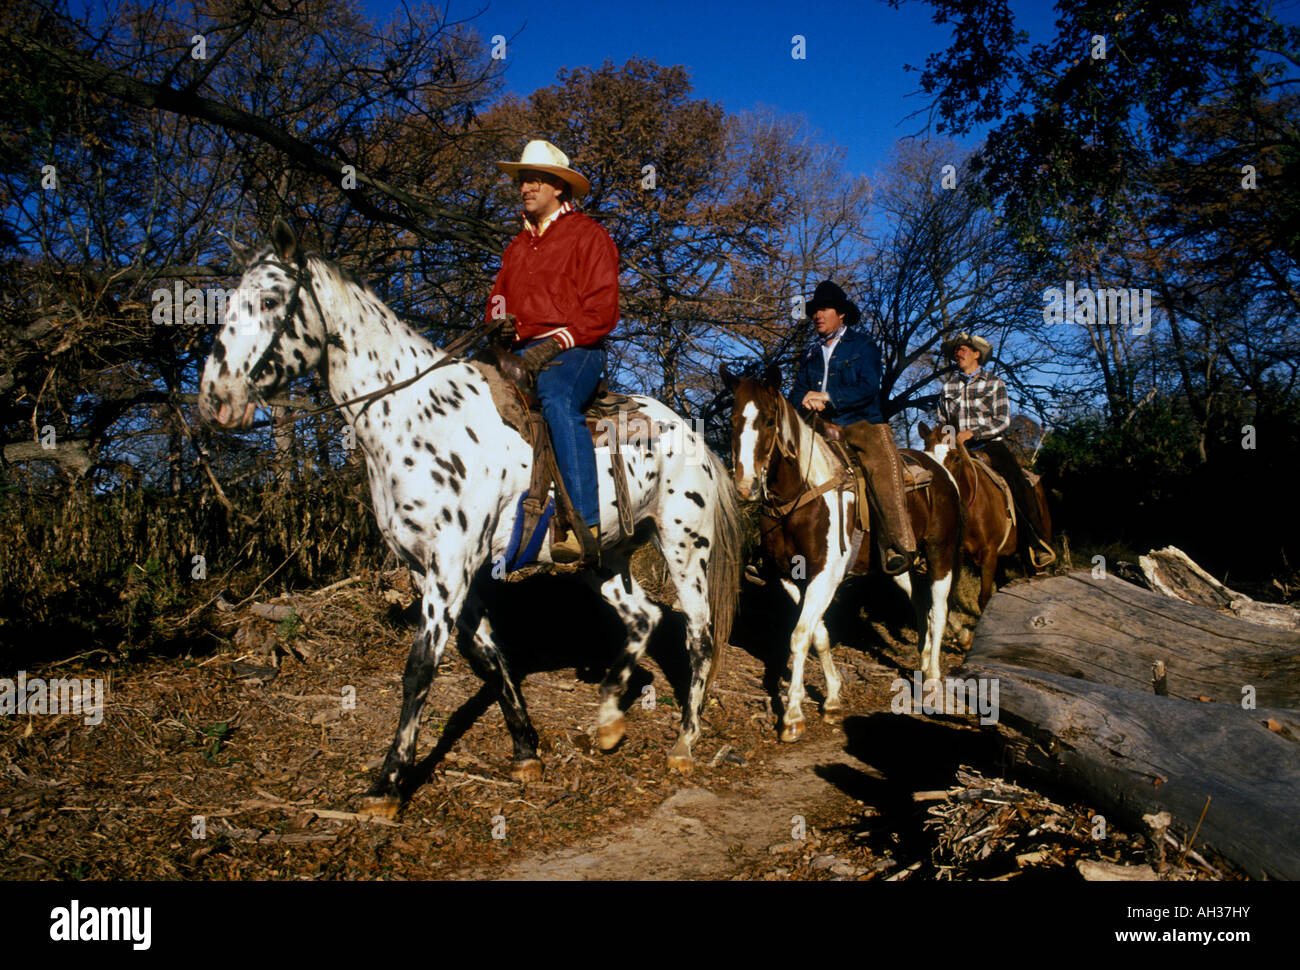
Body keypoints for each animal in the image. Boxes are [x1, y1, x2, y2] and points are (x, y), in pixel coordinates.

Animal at [198, 220, 743, 817]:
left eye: (270, 300)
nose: (216, 400)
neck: (417, 417)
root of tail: (692, 433)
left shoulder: (450, 566)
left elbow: (419, 669)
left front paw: (388, 783)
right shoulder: (432, 570)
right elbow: (487, 654)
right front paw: (526, 751)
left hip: (685, 546)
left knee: (699, 635)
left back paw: (684, 744)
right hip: (606, 557)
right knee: (643, 617)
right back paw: (606, 723)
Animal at [721, 364, 962, 740]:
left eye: (770, 420)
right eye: (732, 419)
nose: (746, 486)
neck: (802, 495)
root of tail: (942, 472)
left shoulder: (826, 574)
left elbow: (799, 636)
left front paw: (793, 716)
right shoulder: (788, 577)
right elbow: (818, 634)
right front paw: (832, 698)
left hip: (942, 554)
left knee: (937, 611)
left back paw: (933, 680)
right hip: (901, 566)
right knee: (920, 605)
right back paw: (922, 667)